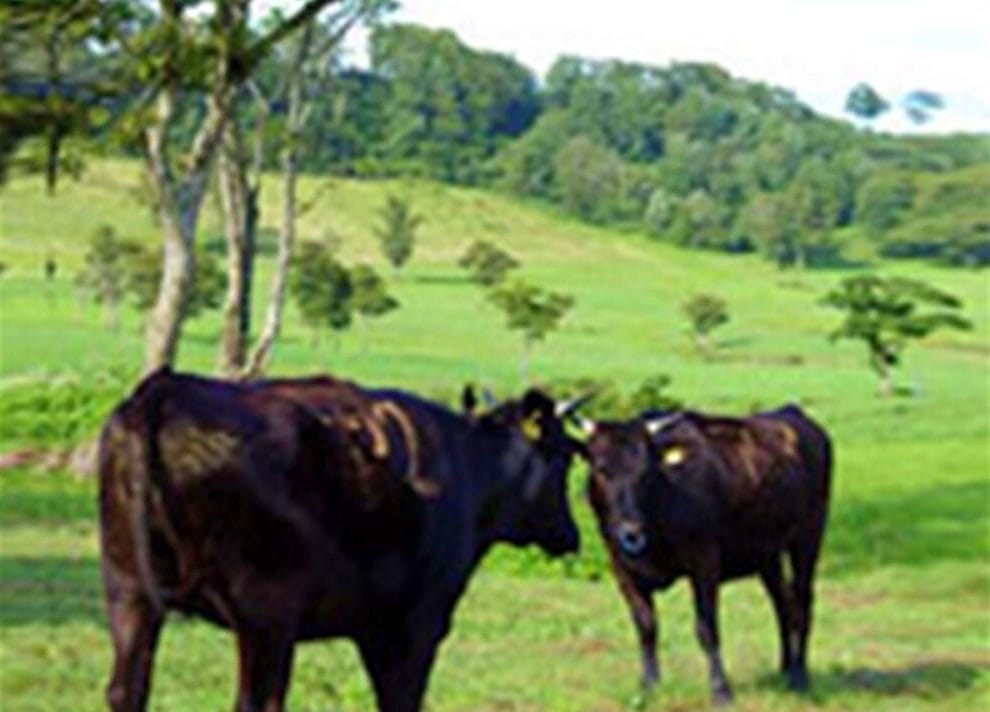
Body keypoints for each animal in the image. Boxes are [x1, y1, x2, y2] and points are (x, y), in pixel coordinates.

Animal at [97, 370, 584, 708]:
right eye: (565, 456)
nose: (572, 535)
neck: (469, 466)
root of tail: (166, 389)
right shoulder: (416, 626)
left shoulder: (372, 629)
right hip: (265, 615)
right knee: (257, 702)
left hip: (128, 591)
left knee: (127, 690)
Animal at [584, 406, 832, 708]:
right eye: (601, 469)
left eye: (646, 471)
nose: (631, 534)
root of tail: (795, 413)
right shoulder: (622, 570)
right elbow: (646, 627)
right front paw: (649, 685)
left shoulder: (704, 565)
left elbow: (707, 629)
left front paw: (721, 690)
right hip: (768, 557)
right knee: (783, 604)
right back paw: (785, 668)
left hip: (807, 539)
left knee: (803, 602)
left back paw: (800, 675)